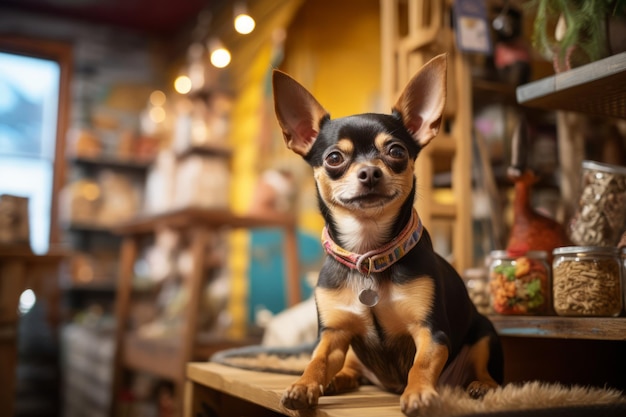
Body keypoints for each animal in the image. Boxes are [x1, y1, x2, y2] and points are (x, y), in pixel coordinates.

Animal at [272, 53, 502, 414]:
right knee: (352, 367)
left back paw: (482, 385)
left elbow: (421, 364)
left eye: (396, 152)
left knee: (482, 365)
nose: (369, 172)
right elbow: (316, 360)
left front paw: (418, 393)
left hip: (484, 331)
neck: (368, 254)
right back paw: (339, 380)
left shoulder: (431, 333)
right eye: (334, 158)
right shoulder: (333, 334)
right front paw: (304, 385)